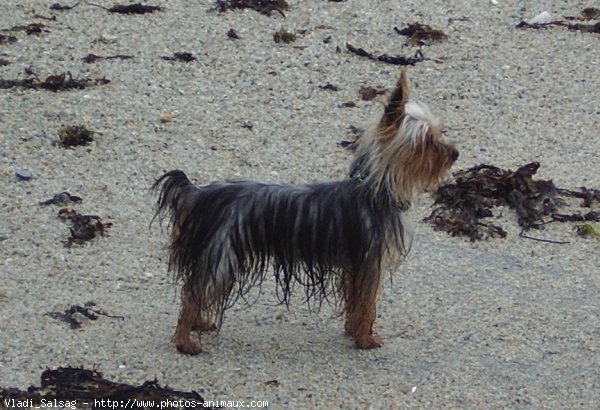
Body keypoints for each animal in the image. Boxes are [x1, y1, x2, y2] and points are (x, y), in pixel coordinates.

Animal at [152, 69, 458, 354]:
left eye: (439, 132)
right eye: (427, 141)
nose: (455, 154)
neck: (375, 188)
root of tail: (200, 194)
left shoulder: (354, 265)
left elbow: (355, 301)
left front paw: (352, 331)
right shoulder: (369, 261)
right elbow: (367, 303)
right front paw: (365, 339)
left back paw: (199, 324)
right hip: (222, 255)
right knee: (192, 293)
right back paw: (185, 341)